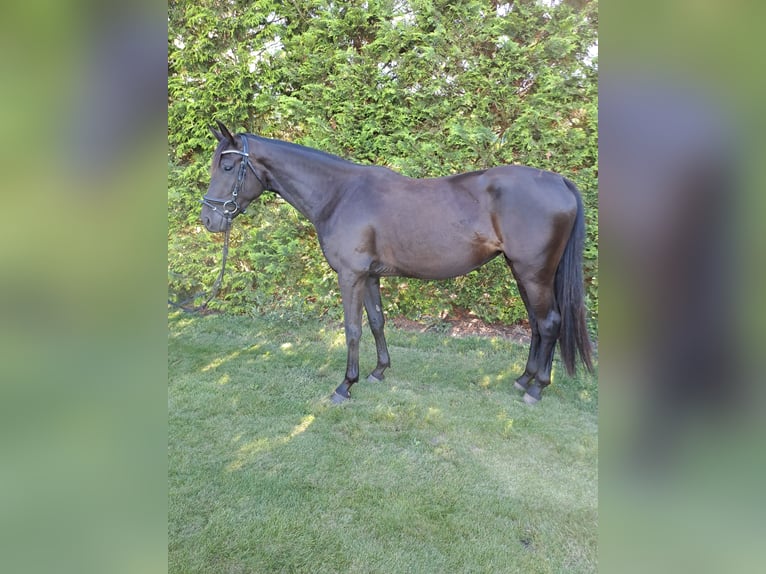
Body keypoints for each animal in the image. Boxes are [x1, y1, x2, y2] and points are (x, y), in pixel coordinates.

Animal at [200, 121, 592, 404]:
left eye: (228, 165)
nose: (208, 219)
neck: (340, 195)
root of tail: (559, 181)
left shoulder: (350, 276)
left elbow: (352, 329)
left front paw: (345, 386)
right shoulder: (370, 276)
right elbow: (376, 322)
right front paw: (379, 371)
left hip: (534, 273)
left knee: (549, 322)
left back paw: (536, 389)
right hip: (522, 271)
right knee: (537, 325)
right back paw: (523, 379)